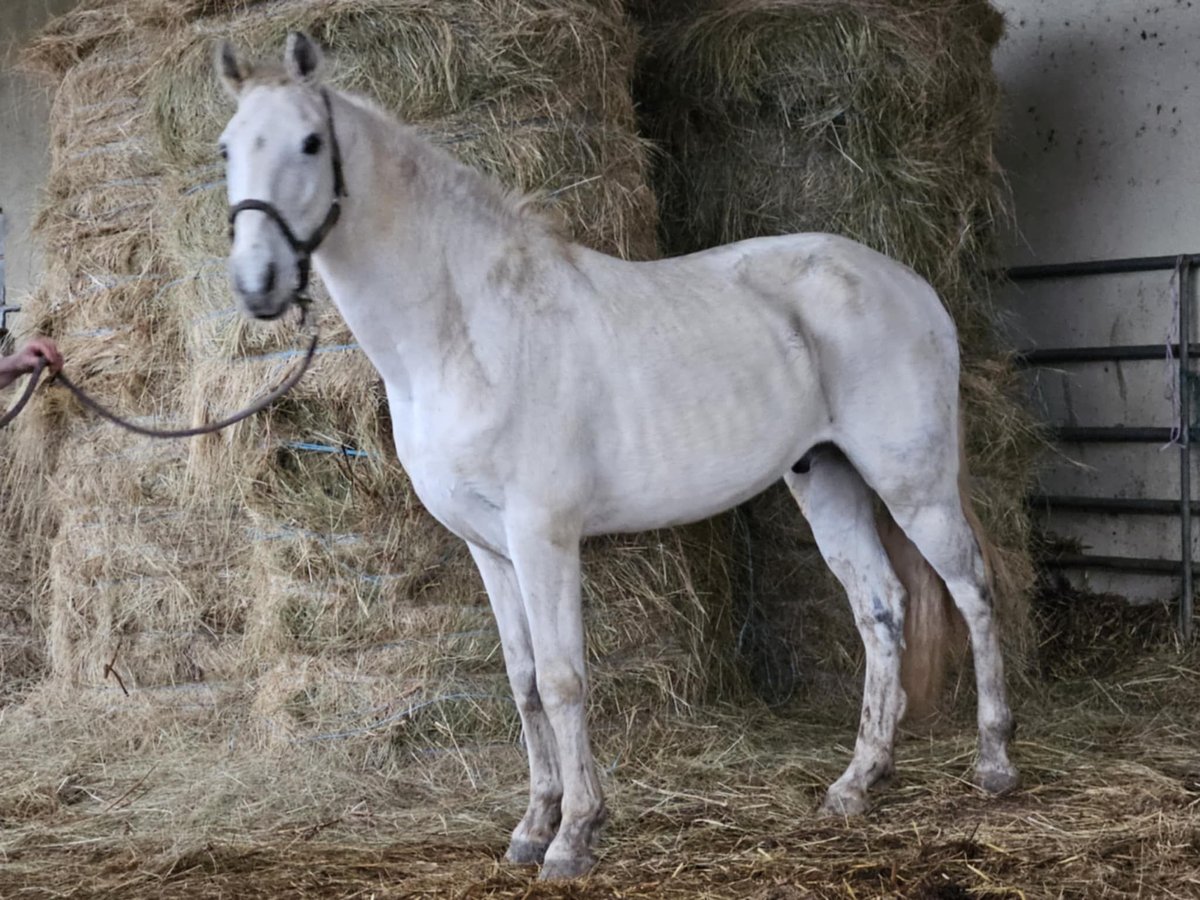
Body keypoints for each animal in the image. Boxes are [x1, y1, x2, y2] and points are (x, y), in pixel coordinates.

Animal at [218, 33, 1022, 883]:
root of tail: (910, 285)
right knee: (880, 607)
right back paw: (857, 782)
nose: (257, 284)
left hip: (914, 482)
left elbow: (564, 680)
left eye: (311, 142)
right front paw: (531, 827)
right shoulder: (488, 549)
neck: (468, 333)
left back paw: (994, 762)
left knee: (971, 589)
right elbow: (523, 682)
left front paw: (574, 836)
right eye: (228, 148)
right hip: (826, 477)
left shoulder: (543, 536)